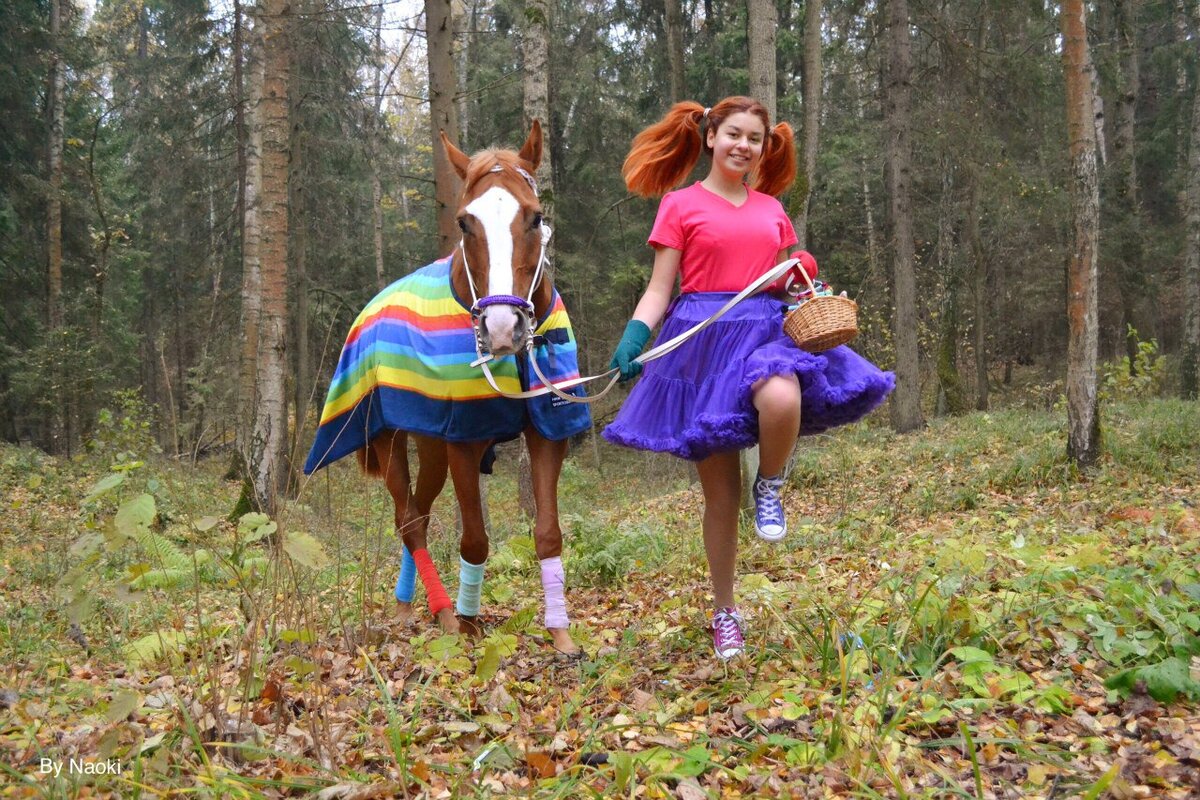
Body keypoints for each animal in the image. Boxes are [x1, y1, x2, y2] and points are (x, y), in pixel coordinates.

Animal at [303, 122, 590, 655]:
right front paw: (469, 622)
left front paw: (560, 632)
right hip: (391, 440)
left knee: (420, 511)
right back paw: (440, 612)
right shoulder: (464, 443)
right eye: (464, 223)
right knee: (409, 520)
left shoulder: (548, 434)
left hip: (431, 447)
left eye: (535, 217)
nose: (503, 329)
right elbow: (474, 538)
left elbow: (548, 533)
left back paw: (406, 605)